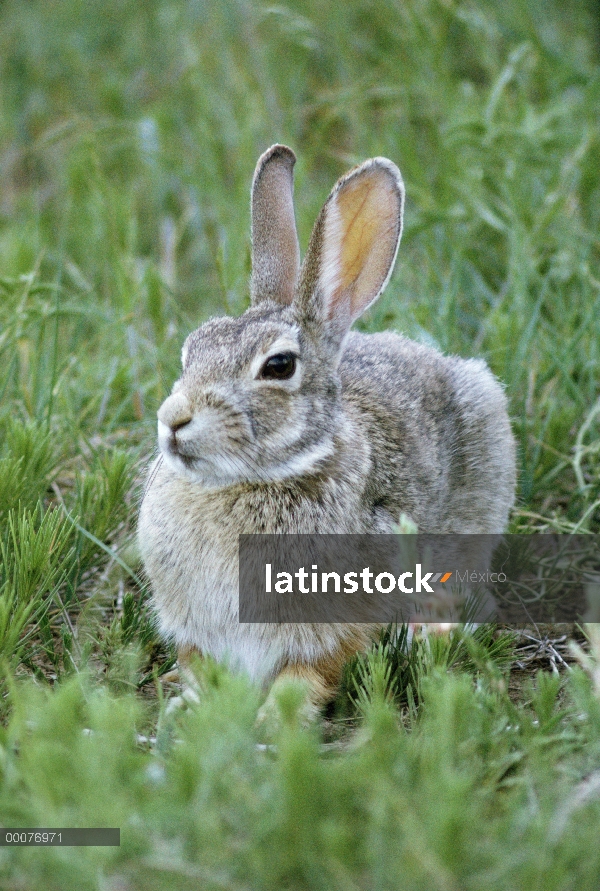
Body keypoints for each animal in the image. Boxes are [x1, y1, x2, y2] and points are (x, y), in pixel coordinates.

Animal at [137, 145, 516, 716]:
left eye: (278, 366)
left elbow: (306, 678)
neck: (260, 479)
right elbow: (198, 667)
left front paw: (273, 723)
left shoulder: (335, 625)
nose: (173, 420)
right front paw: (190, 710)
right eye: (192, 349)